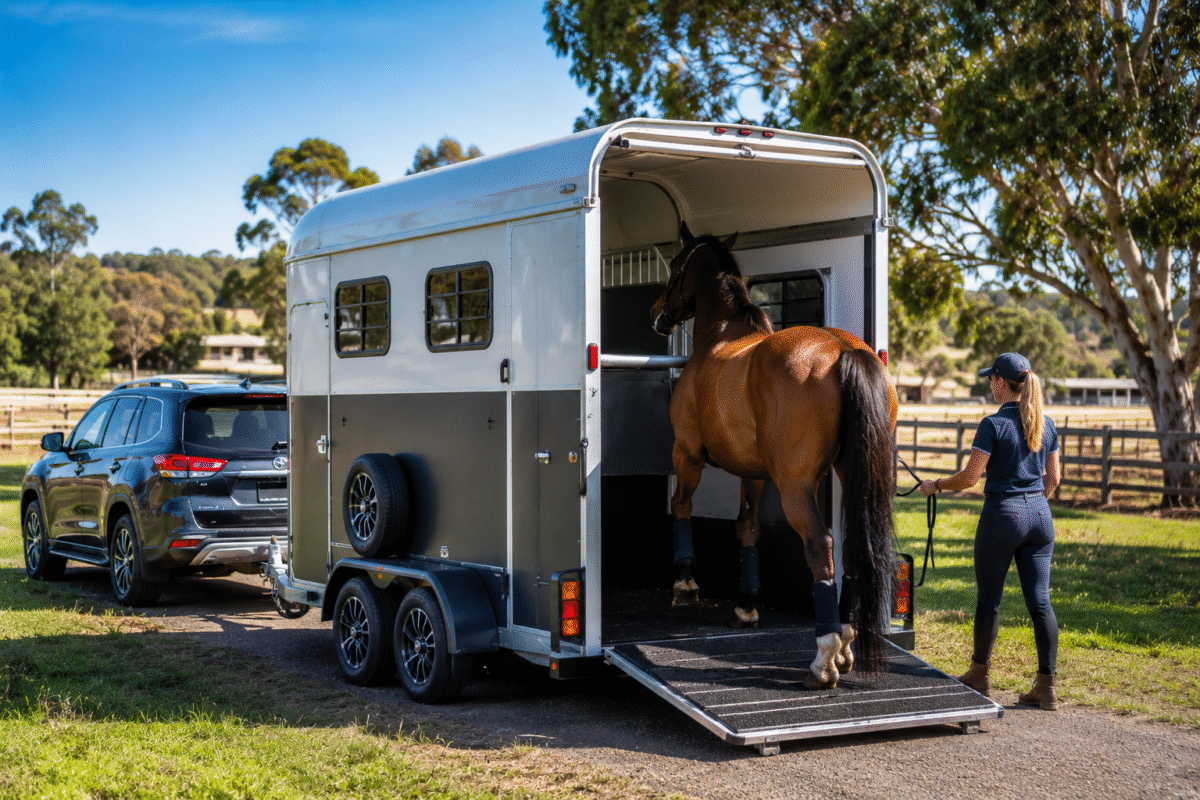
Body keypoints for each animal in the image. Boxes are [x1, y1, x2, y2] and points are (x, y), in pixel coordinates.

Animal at [651, 221, 898, 688]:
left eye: (676, 265)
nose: (658, 313)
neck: (722, 336)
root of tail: (845, 351)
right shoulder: (753, 472)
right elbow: (747, 528)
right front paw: (746, 605)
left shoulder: (687, 452)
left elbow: (681, 506)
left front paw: (685, 584)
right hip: (854, 476)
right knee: (854, 545)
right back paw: (845, 643)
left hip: (795, 486)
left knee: (821, 545)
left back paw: (823, 660)